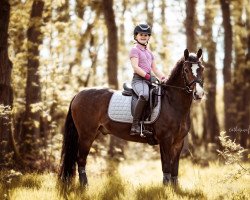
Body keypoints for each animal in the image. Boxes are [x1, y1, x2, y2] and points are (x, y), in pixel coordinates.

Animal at [59, 48, 205, 186]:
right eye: (186, 70)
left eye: (202, 68)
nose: (199, 94)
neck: (172, 103)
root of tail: (78, 94)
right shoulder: (165, 140)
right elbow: (166, 167)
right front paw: (166, 188)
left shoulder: (178, 143)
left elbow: (175, 168)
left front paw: (174, 188)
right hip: (86, 135)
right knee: (81, 160)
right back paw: (84, 186)